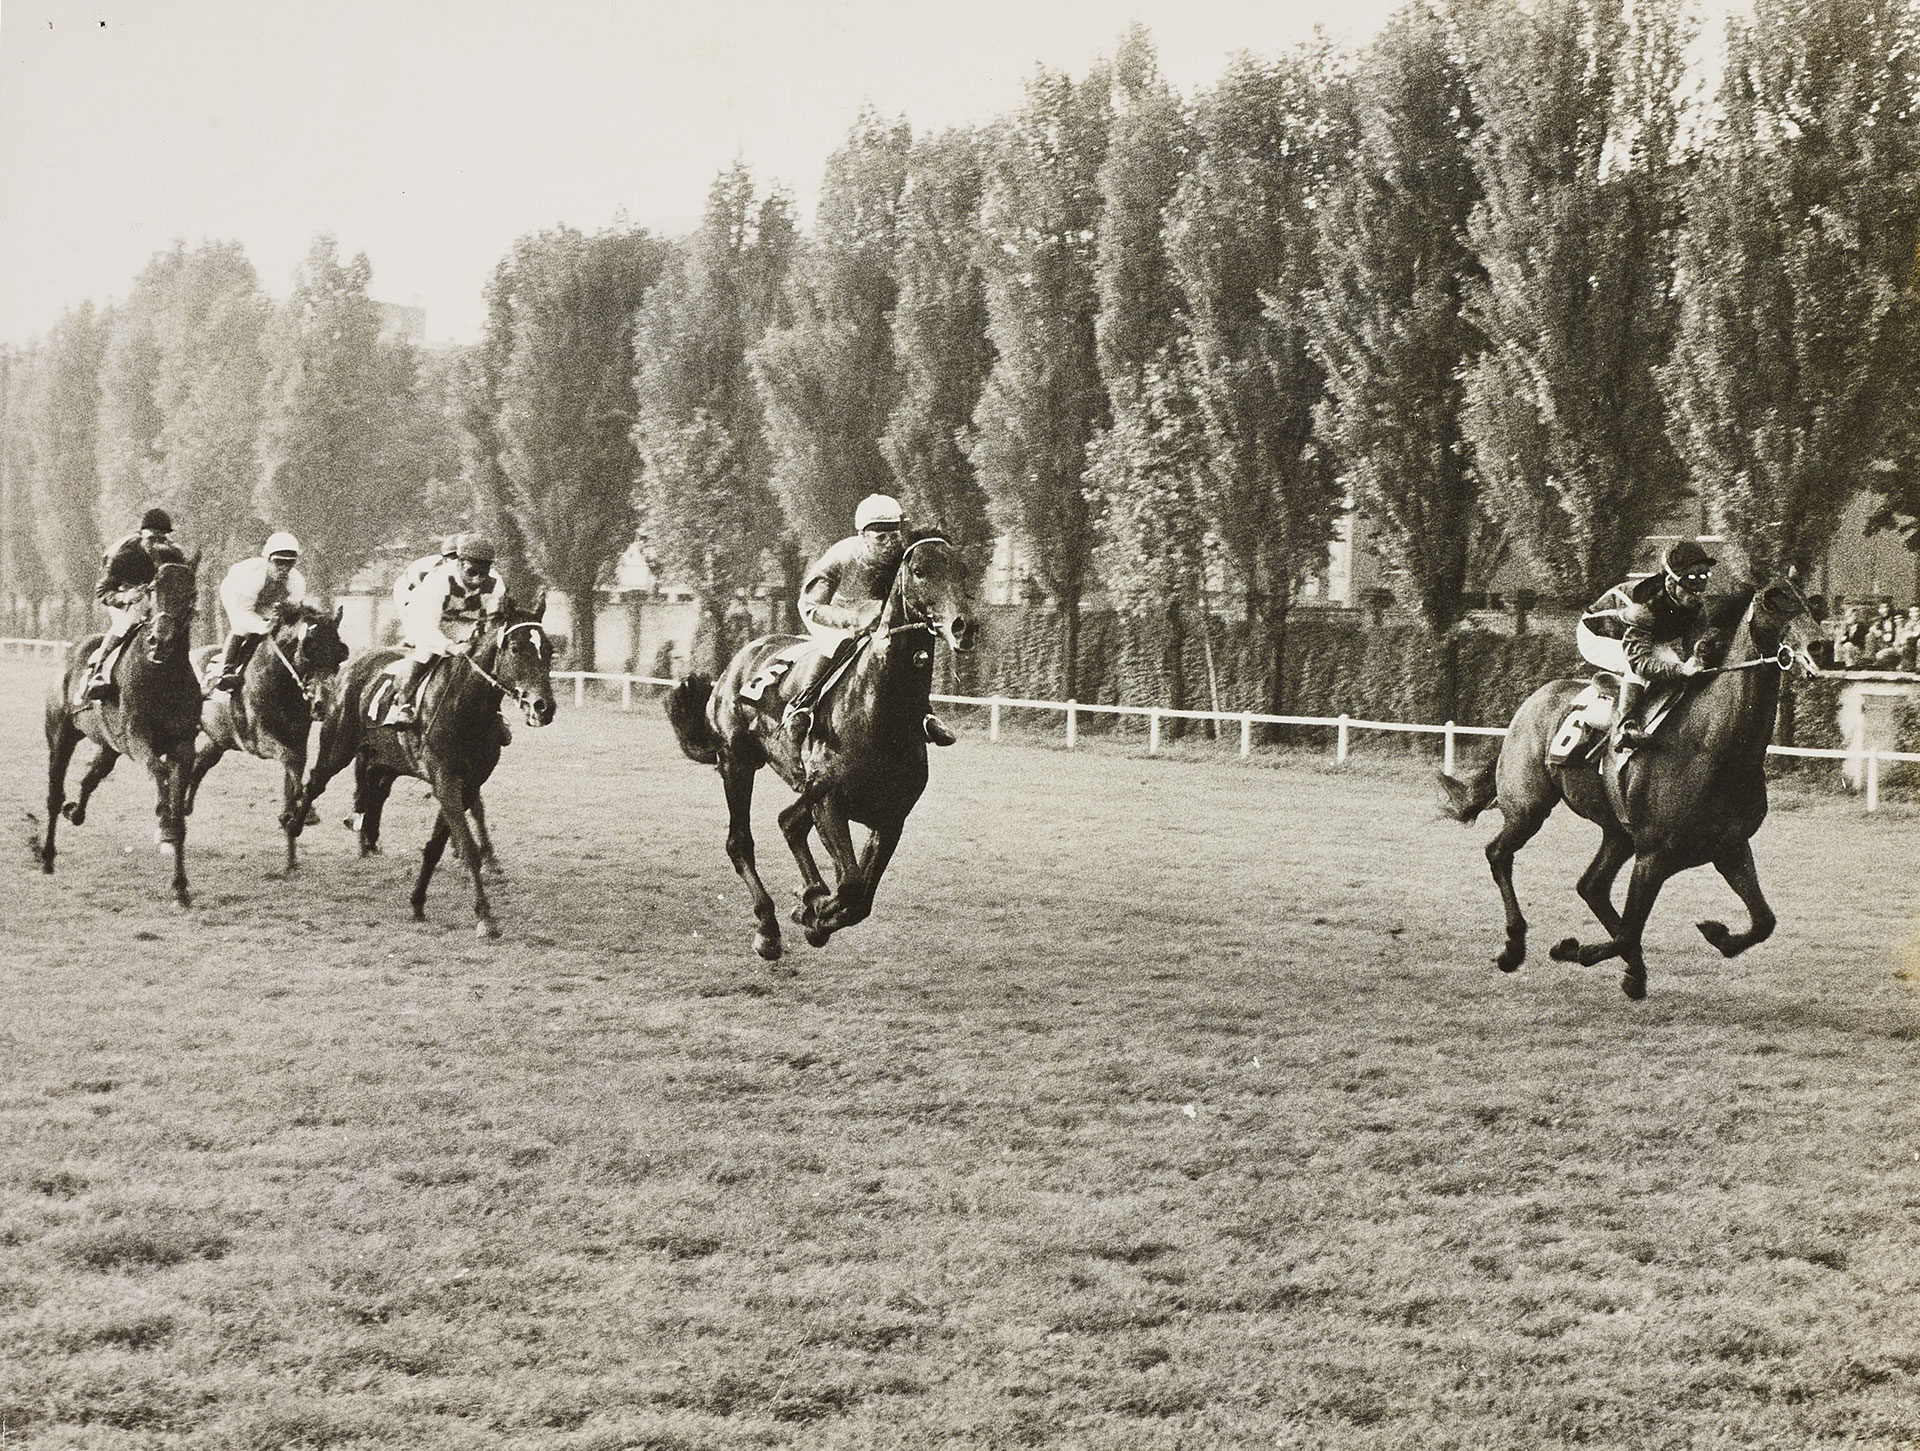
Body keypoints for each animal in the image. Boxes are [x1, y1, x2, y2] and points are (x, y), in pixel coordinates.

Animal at [43, 556, 204, 905]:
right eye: (153, 589)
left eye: (191, 593)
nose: (159, 640)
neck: (161, 676)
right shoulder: (136, 737)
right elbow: (159, 771)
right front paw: (163, 820)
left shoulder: (183, 744)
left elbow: (178, 801)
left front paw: (180, 886)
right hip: (61, 735)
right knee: (54, 792)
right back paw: (47, 856)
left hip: (108, 745)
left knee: (89, 778)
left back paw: (74, 811)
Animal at [185, 602, 351, 871]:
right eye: (309, 651)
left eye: (340, 654)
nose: (324, 704)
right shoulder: (259, 740)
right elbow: (290, 759)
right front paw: (302, 814)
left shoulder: (298, 739)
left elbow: (295, 767)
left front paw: (291, 845)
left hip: (219, 739)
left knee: (199, 764)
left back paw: (185, 805)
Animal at [301, 602, 556, 940]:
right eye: (515, 648)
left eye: (549, 650)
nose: (544, 706)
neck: (467, 707)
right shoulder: (445, 778)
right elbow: (468, 847)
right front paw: (485, 917)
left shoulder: (467, 783)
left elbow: (437, 845)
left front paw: (418, 902)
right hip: (338, 748)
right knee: (316, 782)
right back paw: (293, 831)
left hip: (385, 761)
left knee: (372, 792)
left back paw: (365, 836)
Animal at [668, 533, 983, 963]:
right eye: (919, 571)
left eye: (962, 569)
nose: (963, 626)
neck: (879, 712)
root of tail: (737, 662)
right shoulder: (830, 802)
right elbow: (849, 885)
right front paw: (811, 909)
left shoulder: (890, 818)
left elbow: (860, 897)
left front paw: (814, 910)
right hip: (737, 763)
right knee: (741, 841)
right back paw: (768, 927)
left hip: (802, 787)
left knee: (789, 823)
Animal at [1443, 579, 1812, 998]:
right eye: (1771, 603)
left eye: (1809, 604)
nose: (1818, 647)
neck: (1712, 746)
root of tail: (1532, 701)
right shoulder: (1653, 855)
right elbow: (1628, 932)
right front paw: (1574, 950)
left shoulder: (1729, 847)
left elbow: (1764, 921)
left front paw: (1717, 934)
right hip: (1528, 807)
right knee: (1499, 854)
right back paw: (1513, 945)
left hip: (1616, 831)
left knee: (1592, 885)